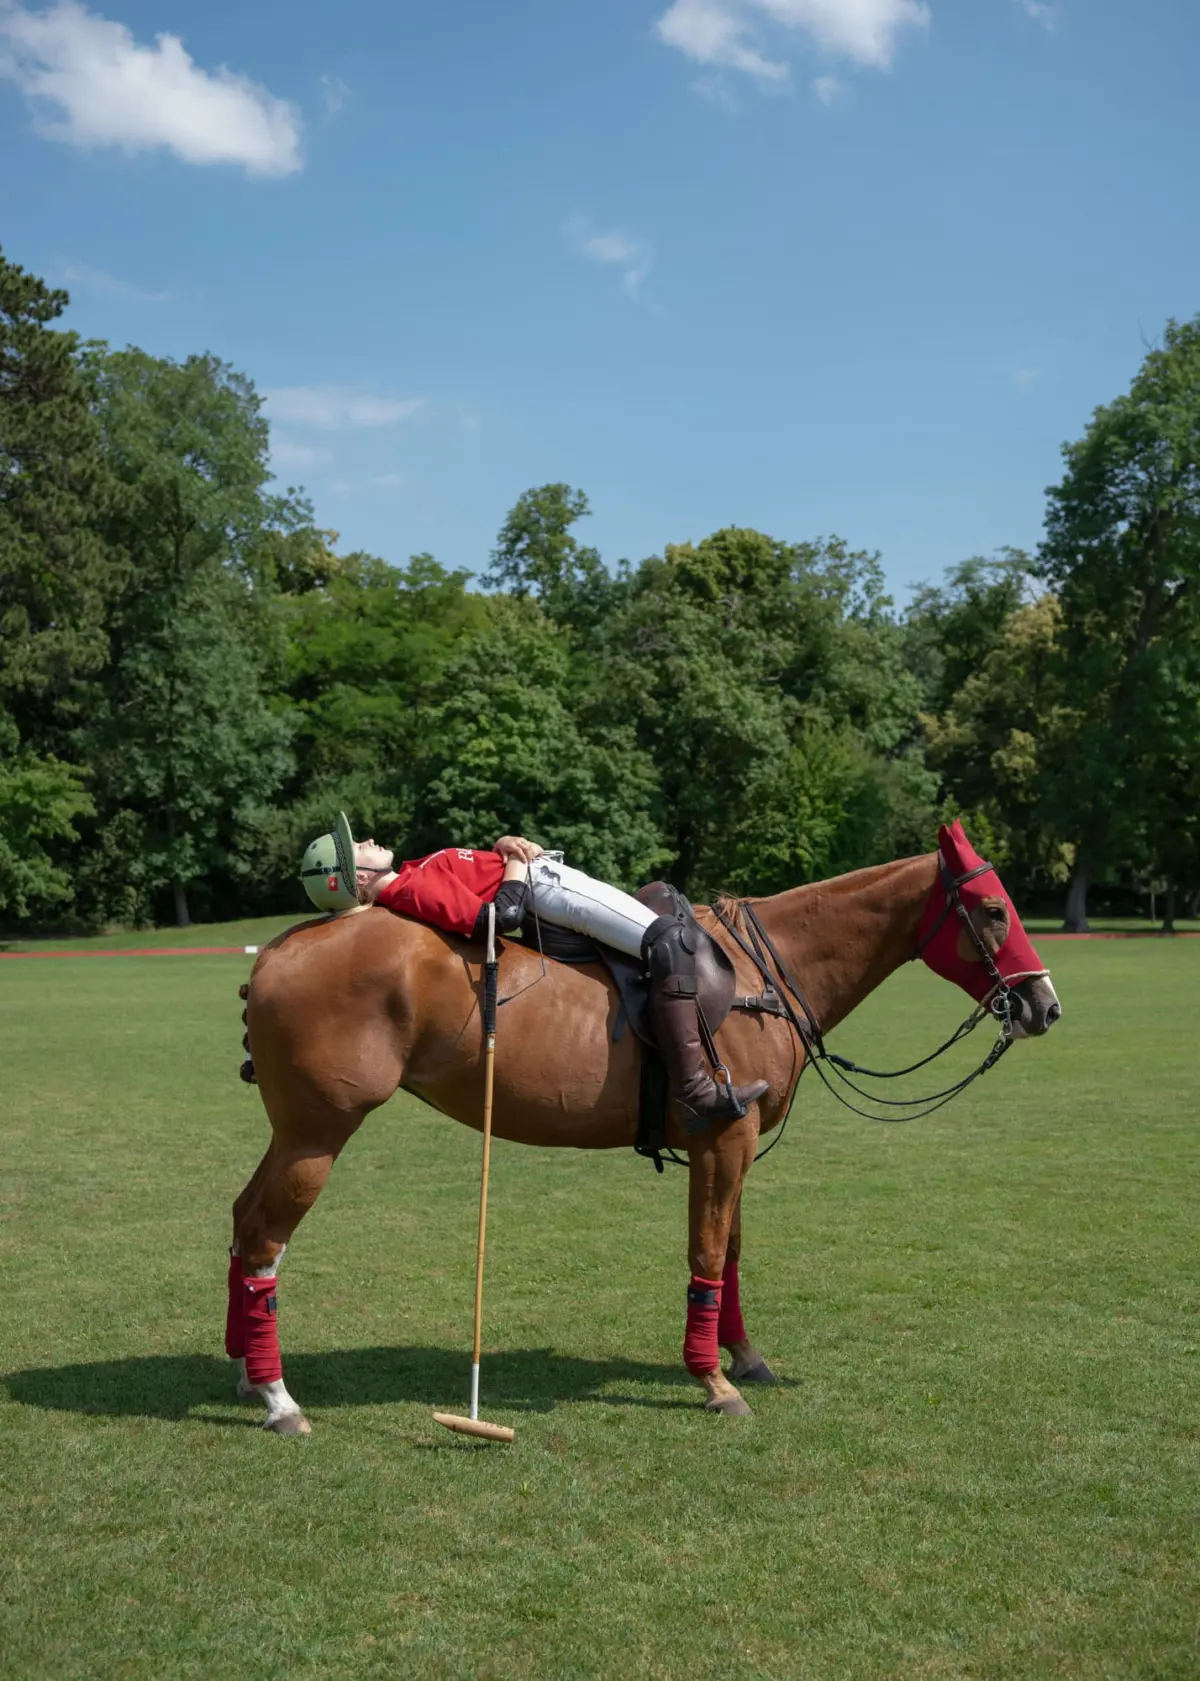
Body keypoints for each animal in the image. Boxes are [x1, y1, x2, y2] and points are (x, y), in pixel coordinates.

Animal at [227, 826, 1060, 1434]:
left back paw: (243, 1368)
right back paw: (280, 1399)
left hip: (294, 1128)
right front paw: (714, 1380)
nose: (1044, 1005)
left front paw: (743, 1356)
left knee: (243, 1219)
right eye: (993, 909)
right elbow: (707, 1253)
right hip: (319, 1130)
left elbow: (731, 1251)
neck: (768, 975)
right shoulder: (724, 1137)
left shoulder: (732, 1143)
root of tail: (272, 954)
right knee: (266, 1237)